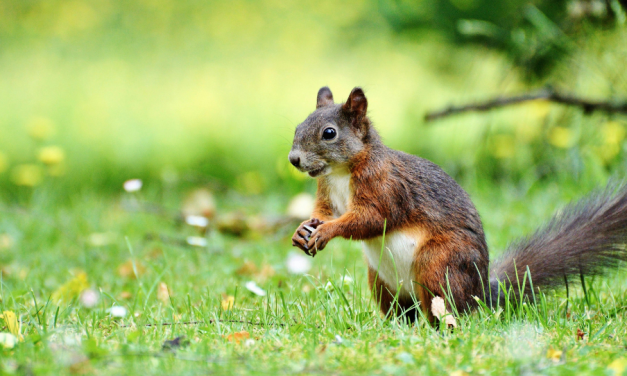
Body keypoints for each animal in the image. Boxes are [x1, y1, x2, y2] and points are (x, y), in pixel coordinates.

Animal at [290, 86, 627, 324]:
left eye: (329, 133)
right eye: (297, 127)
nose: (294, 159)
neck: (340, 173)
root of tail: (479, 292)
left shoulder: (386, 188)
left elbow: (370, 219)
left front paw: (327, 231)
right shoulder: (326, 193)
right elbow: (323, 212)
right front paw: (303, 229)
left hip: (439, 265)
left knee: (443, 309)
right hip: (382, 282)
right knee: (404, 313)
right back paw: (391, 328)